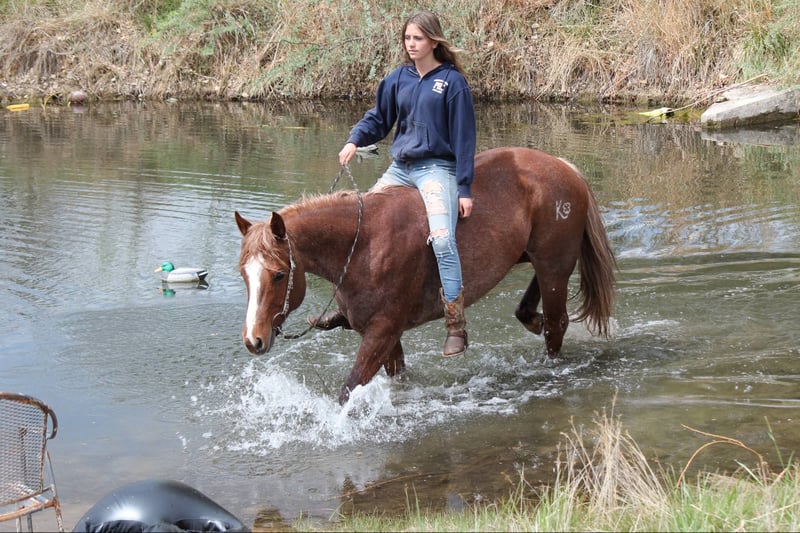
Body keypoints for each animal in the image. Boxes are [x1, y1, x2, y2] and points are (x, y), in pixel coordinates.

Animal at [235, 146, 616, 404]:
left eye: (279, 275)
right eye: (243, 275)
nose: (254, 340)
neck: (362, 247)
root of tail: (565, 168)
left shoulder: (382, 332)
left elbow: (348, 390)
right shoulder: (386, 336)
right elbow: (398, 376)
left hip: (555, 264)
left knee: (557, 324)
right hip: (538, 259)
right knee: (534, 310)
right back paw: (532, 321)